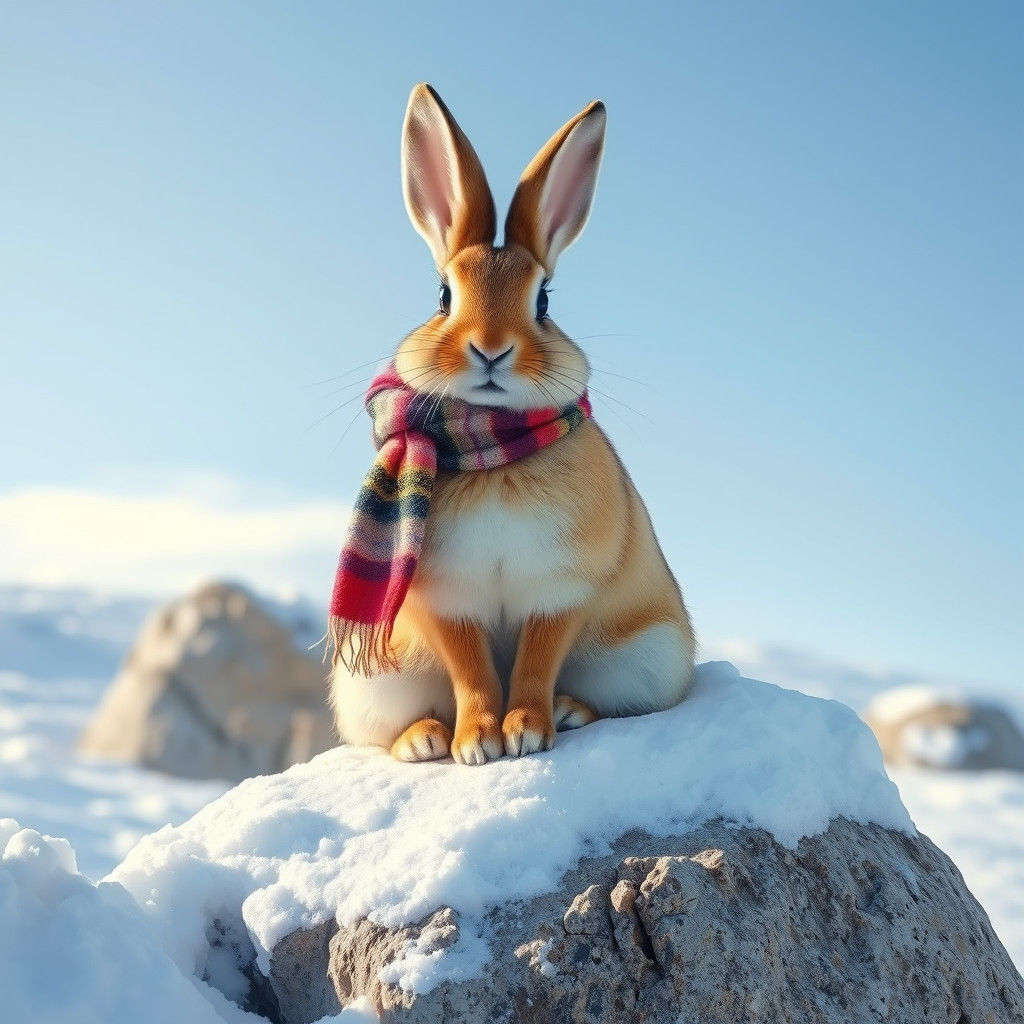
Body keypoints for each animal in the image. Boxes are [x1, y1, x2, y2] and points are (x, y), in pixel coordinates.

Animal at [330, 83, 695, 765]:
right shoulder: (451, 599)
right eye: (443, 296)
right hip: (375, 681)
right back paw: (423, 741)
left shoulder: (559, 590)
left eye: (544, 299)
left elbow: (535, 661)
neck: (491, 440)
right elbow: (472, 670)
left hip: (646, 655)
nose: (491, 349)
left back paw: (570, 711)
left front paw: (524, 734)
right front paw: (477, 745)